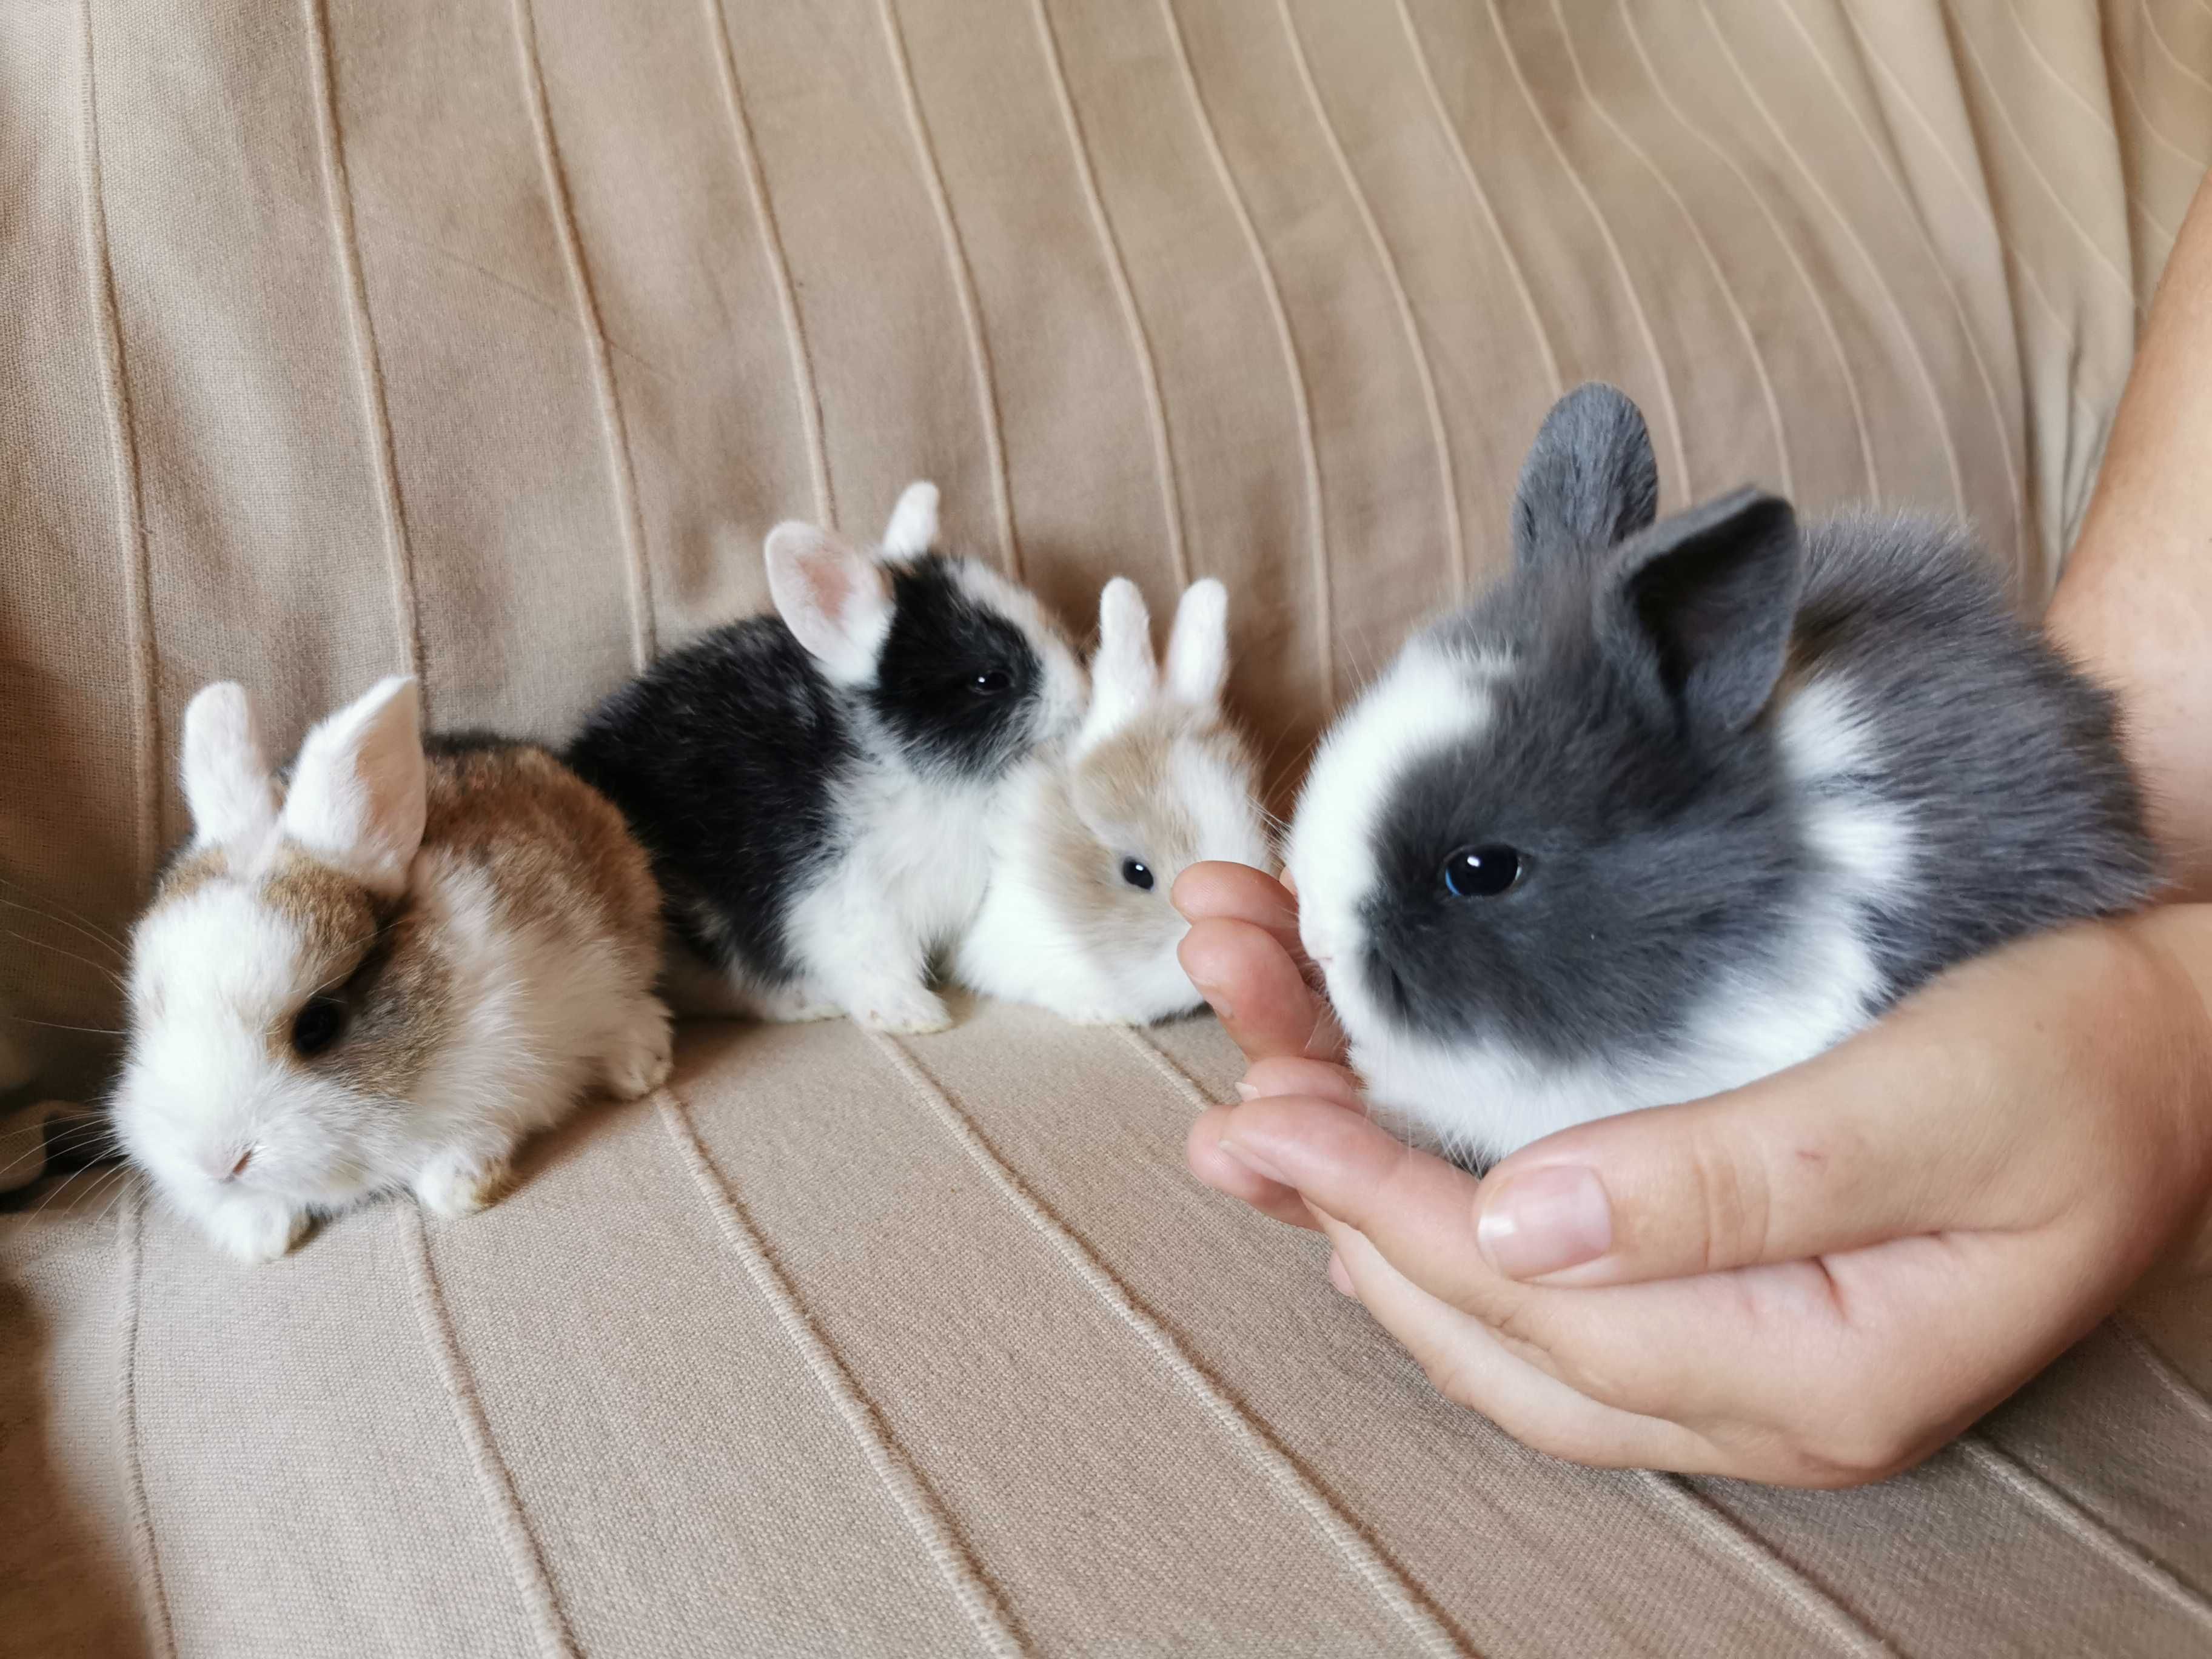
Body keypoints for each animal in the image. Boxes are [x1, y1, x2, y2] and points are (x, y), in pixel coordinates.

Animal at [116, 677, 668, 1256]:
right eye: (150, 1014)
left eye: (318, 1026)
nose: (220, 1162)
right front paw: (261, 1235)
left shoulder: (515, 1068)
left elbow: (469, 1147)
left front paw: (461, 1186)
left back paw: (638, 1069)